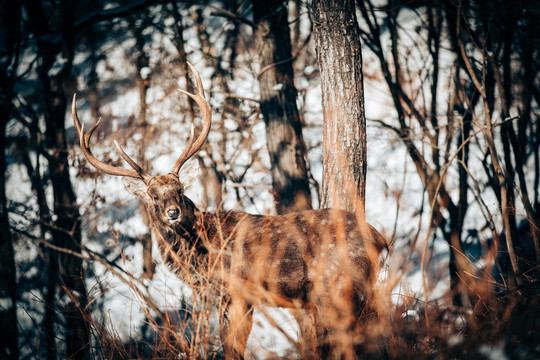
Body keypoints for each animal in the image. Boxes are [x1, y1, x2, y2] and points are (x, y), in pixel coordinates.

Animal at [71, 62, 386, 360]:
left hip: (336, 285)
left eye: (180, 189)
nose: (173, 212)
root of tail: (382, 239)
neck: (200, 255)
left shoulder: (236, 292)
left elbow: (232, 348)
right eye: (153, 196)